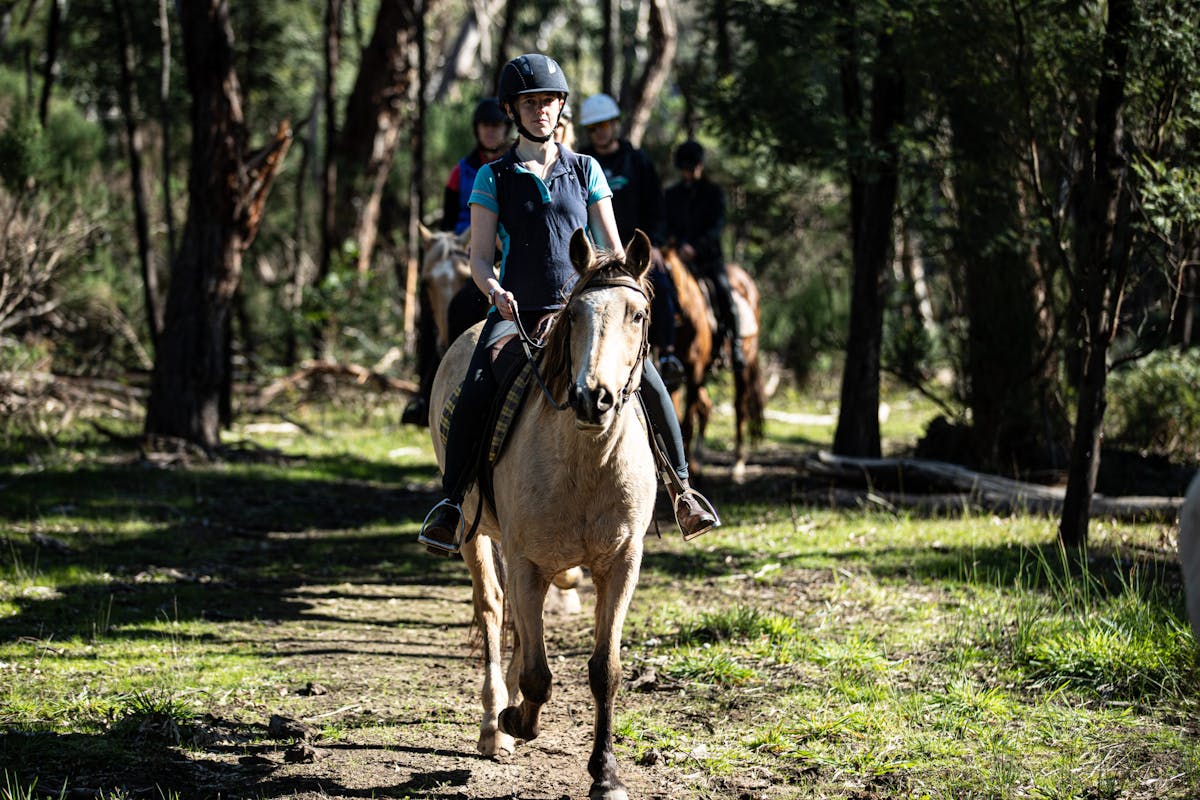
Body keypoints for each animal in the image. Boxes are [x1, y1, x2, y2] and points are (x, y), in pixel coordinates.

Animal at [429, 227, 662, 796]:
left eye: (637, 315)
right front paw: (515, 720)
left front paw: (605, 773)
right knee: (493, 609)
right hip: (474, 532)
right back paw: (495, 727)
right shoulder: (527, 561)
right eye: (574, 315)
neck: (585, 461)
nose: (593, 398)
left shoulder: (621, 565)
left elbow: (605, 670)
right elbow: (537, 672)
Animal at [662, 247, 763, 479]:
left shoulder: (695, 371)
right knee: (707, 406)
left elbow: (686, 424)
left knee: (739, 407)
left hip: (744, 364)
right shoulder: (673, 375)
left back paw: (738, 464)